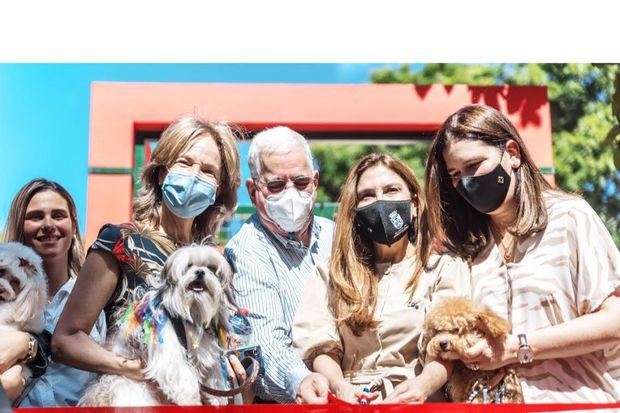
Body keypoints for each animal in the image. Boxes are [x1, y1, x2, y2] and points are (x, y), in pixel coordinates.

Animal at [81, 245, 236, 406]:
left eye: (211, 268)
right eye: (189, 266)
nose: (200, 272)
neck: (192, 310)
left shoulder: (207, 348)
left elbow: (214, 371)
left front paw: (216, 397)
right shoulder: (168, 347)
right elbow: (180, 374)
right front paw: (191, 399)